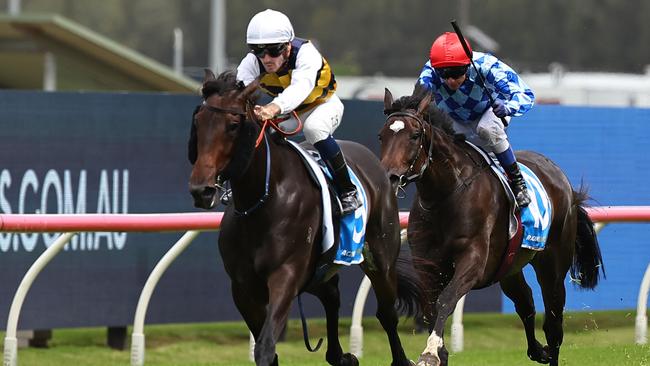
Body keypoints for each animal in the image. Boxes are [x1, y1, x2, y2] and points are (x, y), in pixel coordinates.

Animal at [187, 69, 422, 366]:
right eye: (198, 122)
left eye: (232, 125)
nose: (201, 189)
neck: (263, 199)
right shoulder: (242, 288)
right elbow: (265, 346)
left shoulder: (286, 275)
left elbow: (265, 347)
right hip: (319, 271)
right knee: (332, 296)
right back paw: (342, 356)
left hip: (380, 257)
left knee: (387, 314)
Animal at [374, 89, 604, 366]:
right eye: (382, 135)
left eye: (415, 135)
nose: (389, 177)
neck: (446, 195)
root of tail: (562, 179)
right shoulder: (427, 266)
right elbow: (430, 309)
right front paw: (439, 351)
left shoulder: (473, 260)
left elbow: (446, 300)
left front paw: (429, 352)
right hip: (510, 266)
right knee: (526, 303)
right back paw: (537, 350)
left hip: (553, 263)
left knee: (554, 323)